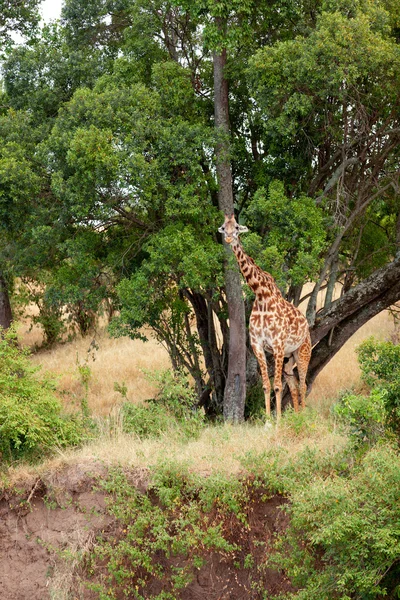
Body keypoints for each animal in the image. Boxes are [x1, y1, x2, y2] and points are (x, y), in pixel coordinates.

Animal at [219, 213, 312, 420]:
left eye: (236, 227)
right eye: (223, 227)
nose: (228, 238)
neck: (261, 294)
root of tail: (307, 326)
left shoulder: (277, 345)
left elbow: (276, 386)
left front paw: (277, 421)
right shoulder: (257, 345)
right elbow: (266, 386)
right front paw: (269, 421)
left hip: (302, 352)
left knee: (303, 384)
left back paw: (303, 417)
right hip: (288, 359)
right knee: (294, 386)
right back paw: (295, 416)